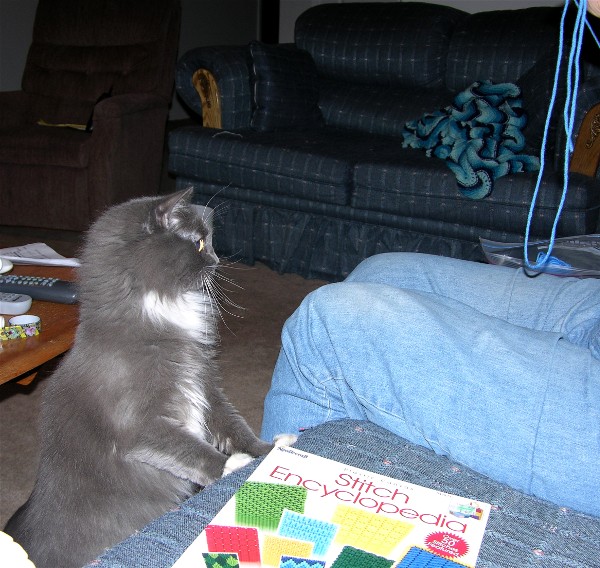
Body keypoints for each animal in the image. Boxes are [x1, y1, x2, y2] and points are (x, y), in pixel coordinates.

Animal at [4, 189, 295, 568]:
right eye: (199, 243)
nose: (217, 259)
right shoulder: (142, 425)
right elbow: (192, 450)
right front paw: (233, 466)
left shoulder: (205, 385)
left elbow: (233, 427)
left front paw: (269, 450)